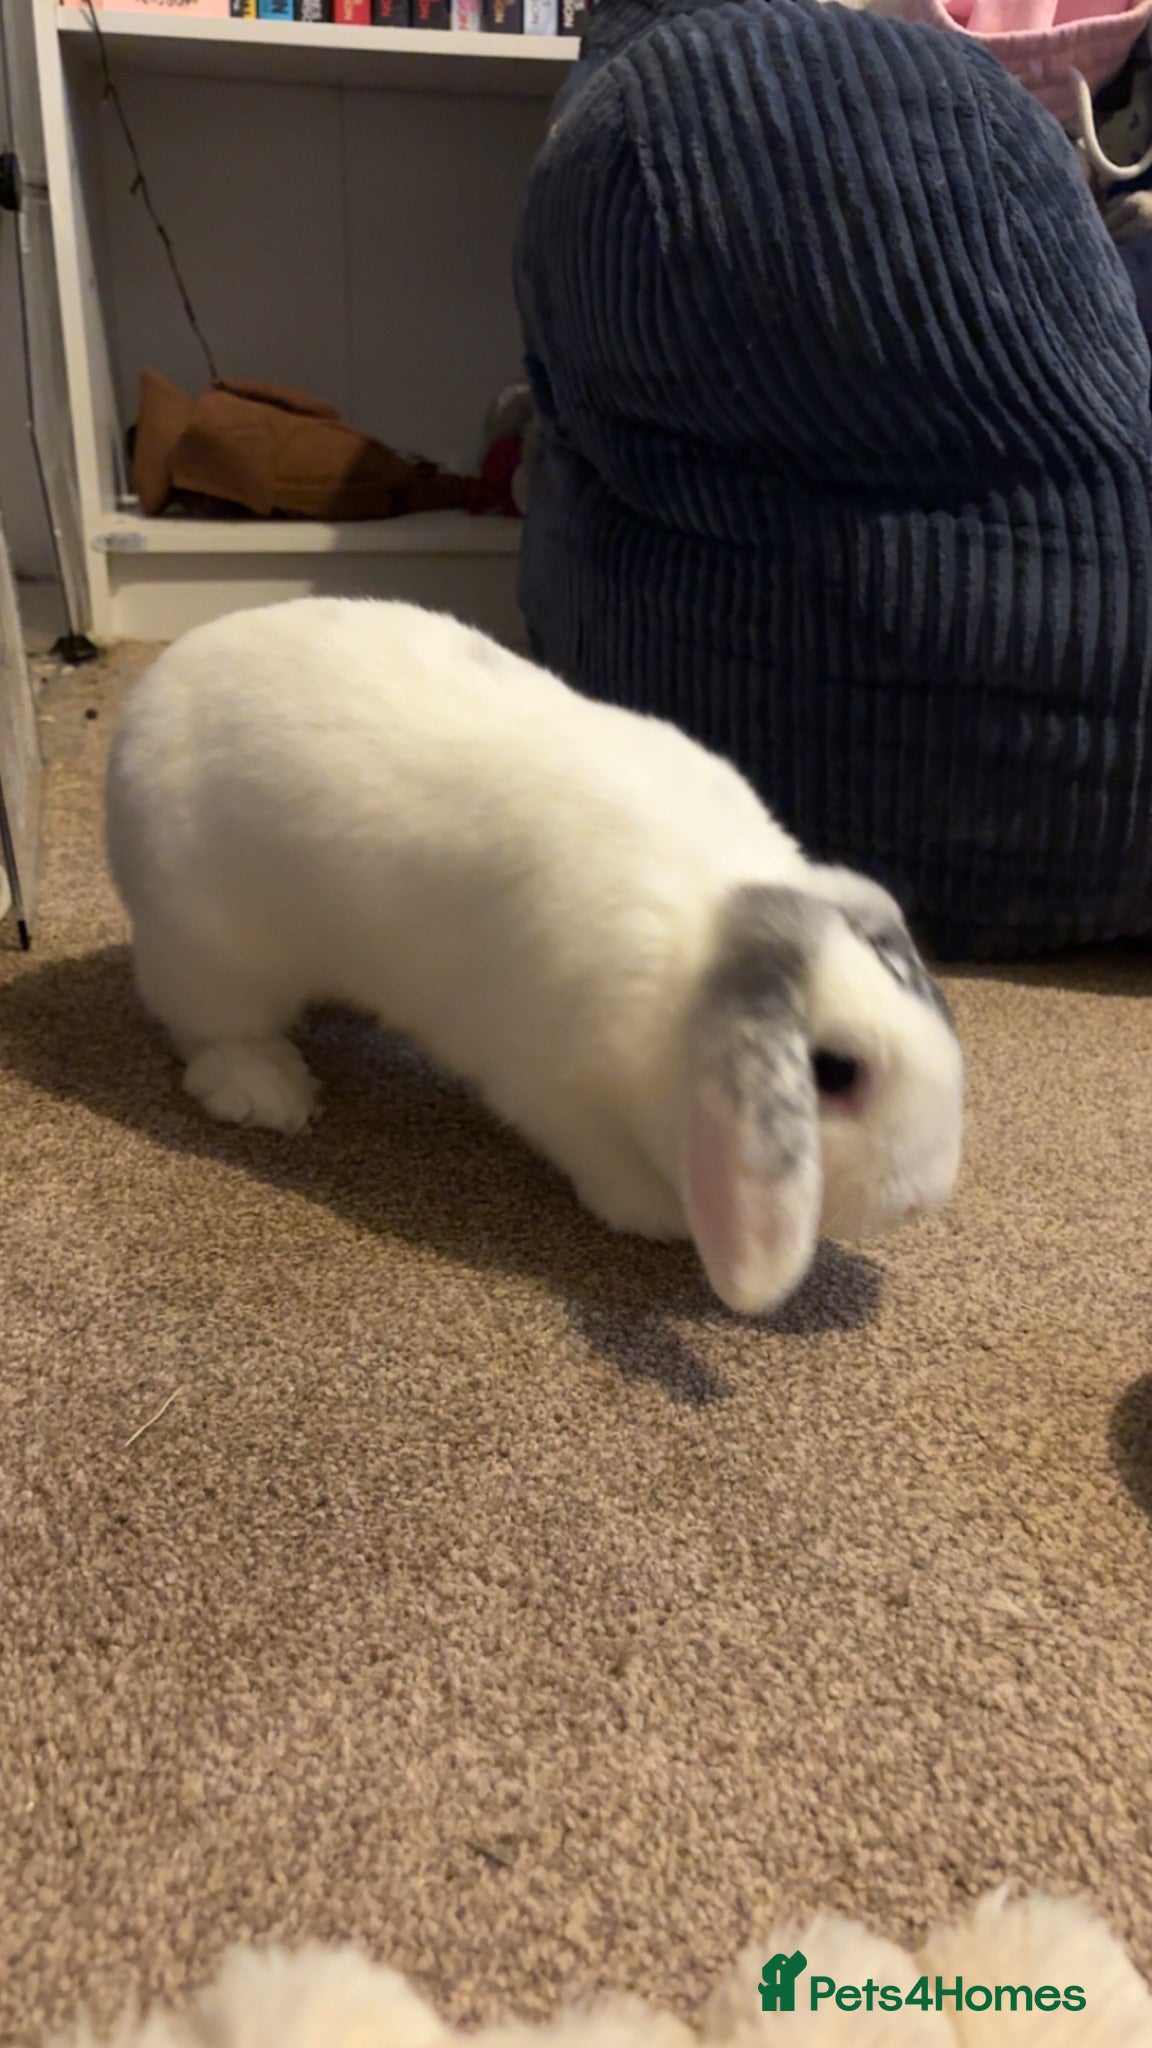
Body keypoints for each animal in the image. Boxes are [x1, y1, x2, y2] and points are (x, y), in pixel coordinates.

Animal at [105, 597, 963, 1317]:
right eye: (835, 1073)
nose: (924, 1198)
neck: (693, 964)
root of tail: (141, 708)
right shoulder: (555, 1090)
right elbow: (607, 1166)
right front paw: (660, 1217)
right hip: (212, 953)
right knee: (208, 1031)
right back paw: (268, 1091)